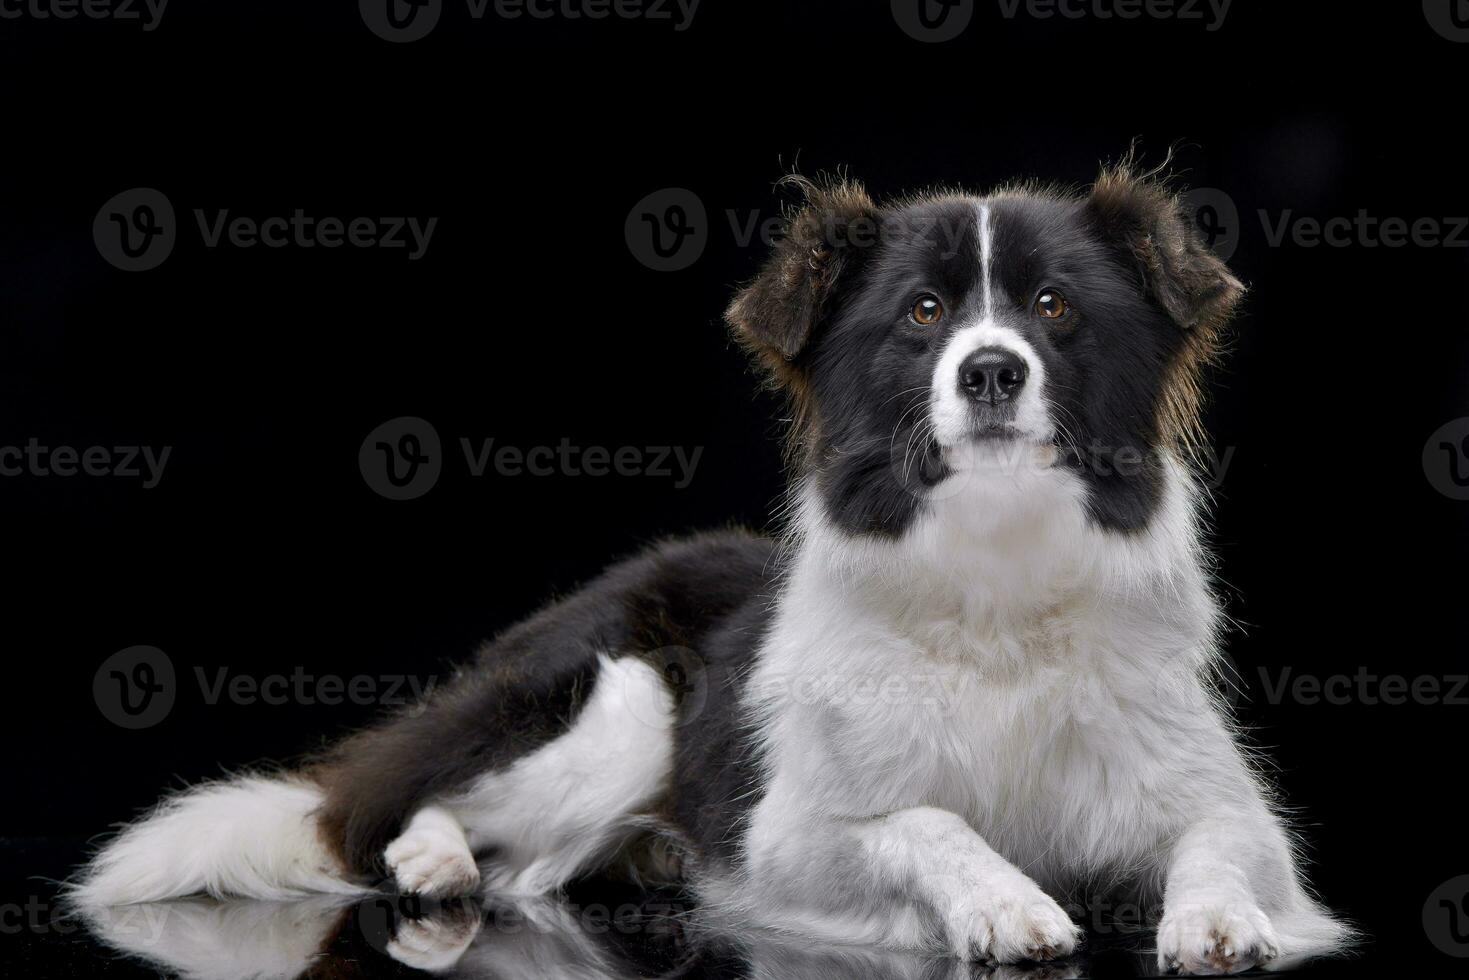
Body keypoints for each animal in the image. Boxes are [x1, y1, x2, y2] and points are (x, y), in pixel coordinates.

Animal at [69, 159, 1351, 975]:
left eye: (1052, 307)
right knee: (407, 814)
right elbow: (929, 819)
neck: (992, 570)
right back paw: (433, 854)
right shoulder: (793, 837)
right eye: (922, 314)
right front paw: (1006, 901)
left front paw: (1214, 920)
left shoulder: (1227, 805)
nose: (990, 370)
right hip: (624, 699)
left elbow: (1222, 845)